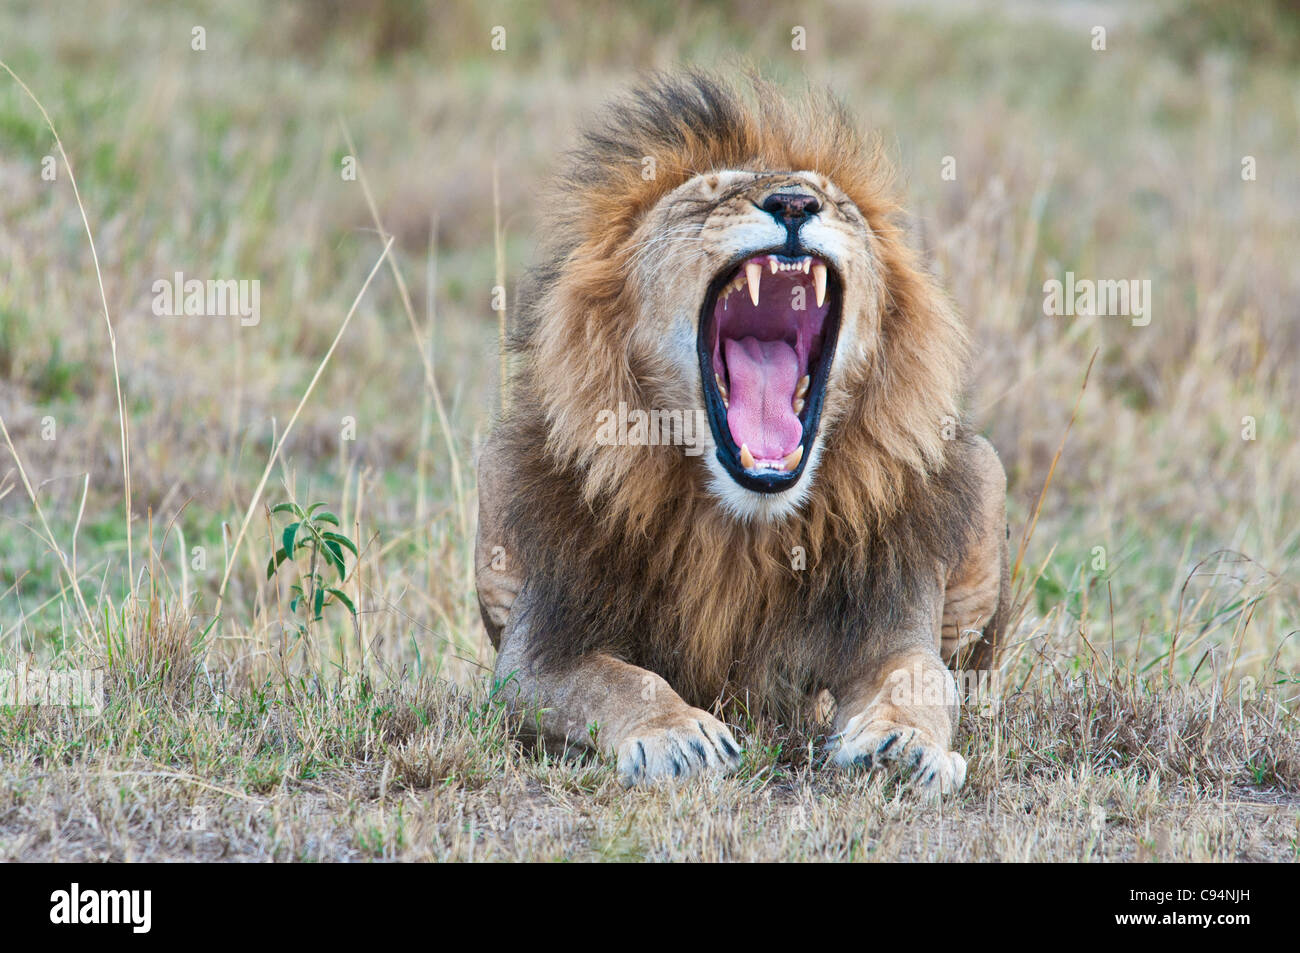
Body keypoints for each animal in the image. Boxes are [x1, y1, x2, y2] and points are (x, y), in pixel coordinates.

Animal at [473, 70, 1008, 790]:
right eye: (709, 196)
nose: (795, 203)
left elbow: (918, 680)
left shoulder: (889, 625)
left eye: (835, 202)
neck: (744, 526)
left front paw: (901, 745)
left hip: (985, 468)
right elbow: (618, 680)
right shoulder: (539, 649)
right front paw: (678, 738)